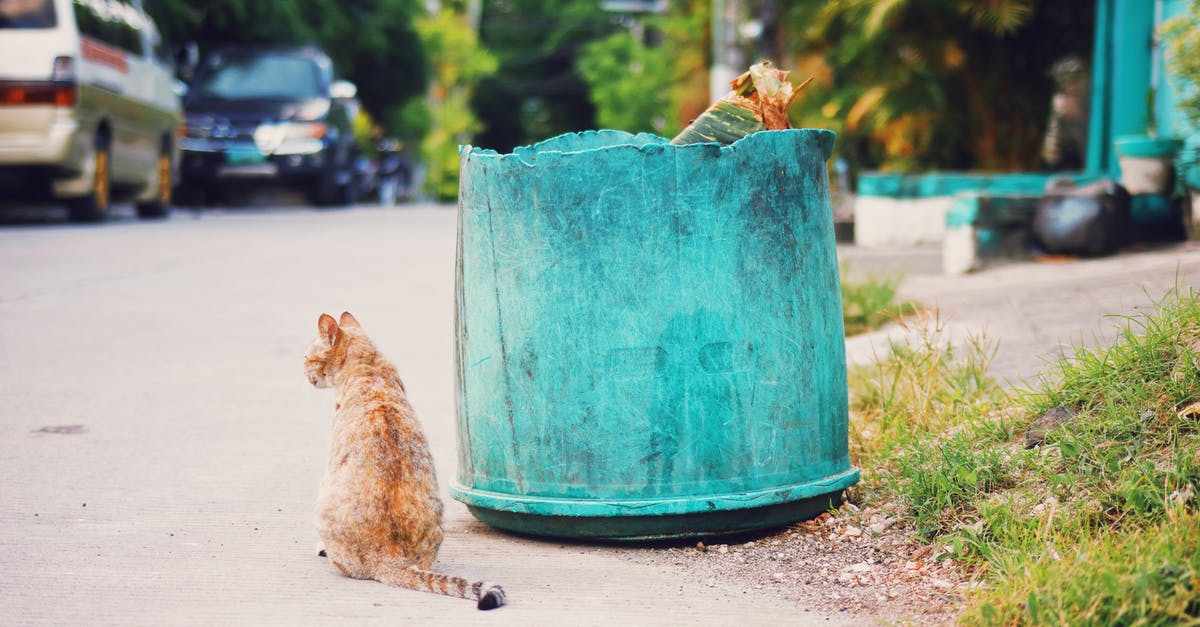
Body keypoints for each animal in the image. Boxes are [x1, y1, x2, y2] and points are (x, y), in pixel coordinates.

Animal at [304, 309, 506, 607]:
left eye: (307, 358)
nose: (305, 372)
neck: (368, 364)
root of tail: (389, 555)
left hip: (323, 501)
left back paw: (327, 552)